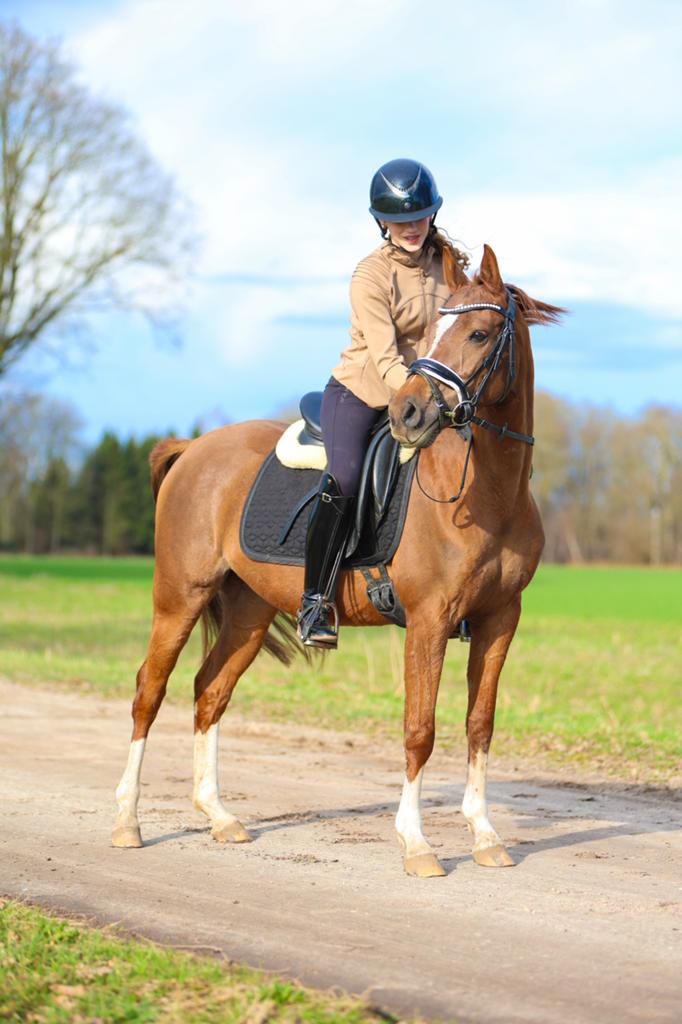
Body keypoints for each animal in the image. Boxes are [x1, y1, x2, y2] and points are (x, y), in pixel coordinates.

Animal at [112, 243, 564, 877]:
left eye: (478, 333)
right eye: (433, 332)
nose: (409, 413)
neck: (485, 493)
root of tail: (193, 447)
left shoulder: (501, 619)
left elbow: (480, 724)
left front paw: (485, 836)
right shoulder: (428, 620)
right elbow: (419, 729)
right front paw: (417, 844)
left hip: (248, 612)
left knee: (209, 691)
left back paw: (220, 817)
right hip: (180, 596)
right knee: (148, 691)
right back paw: (128, 822)